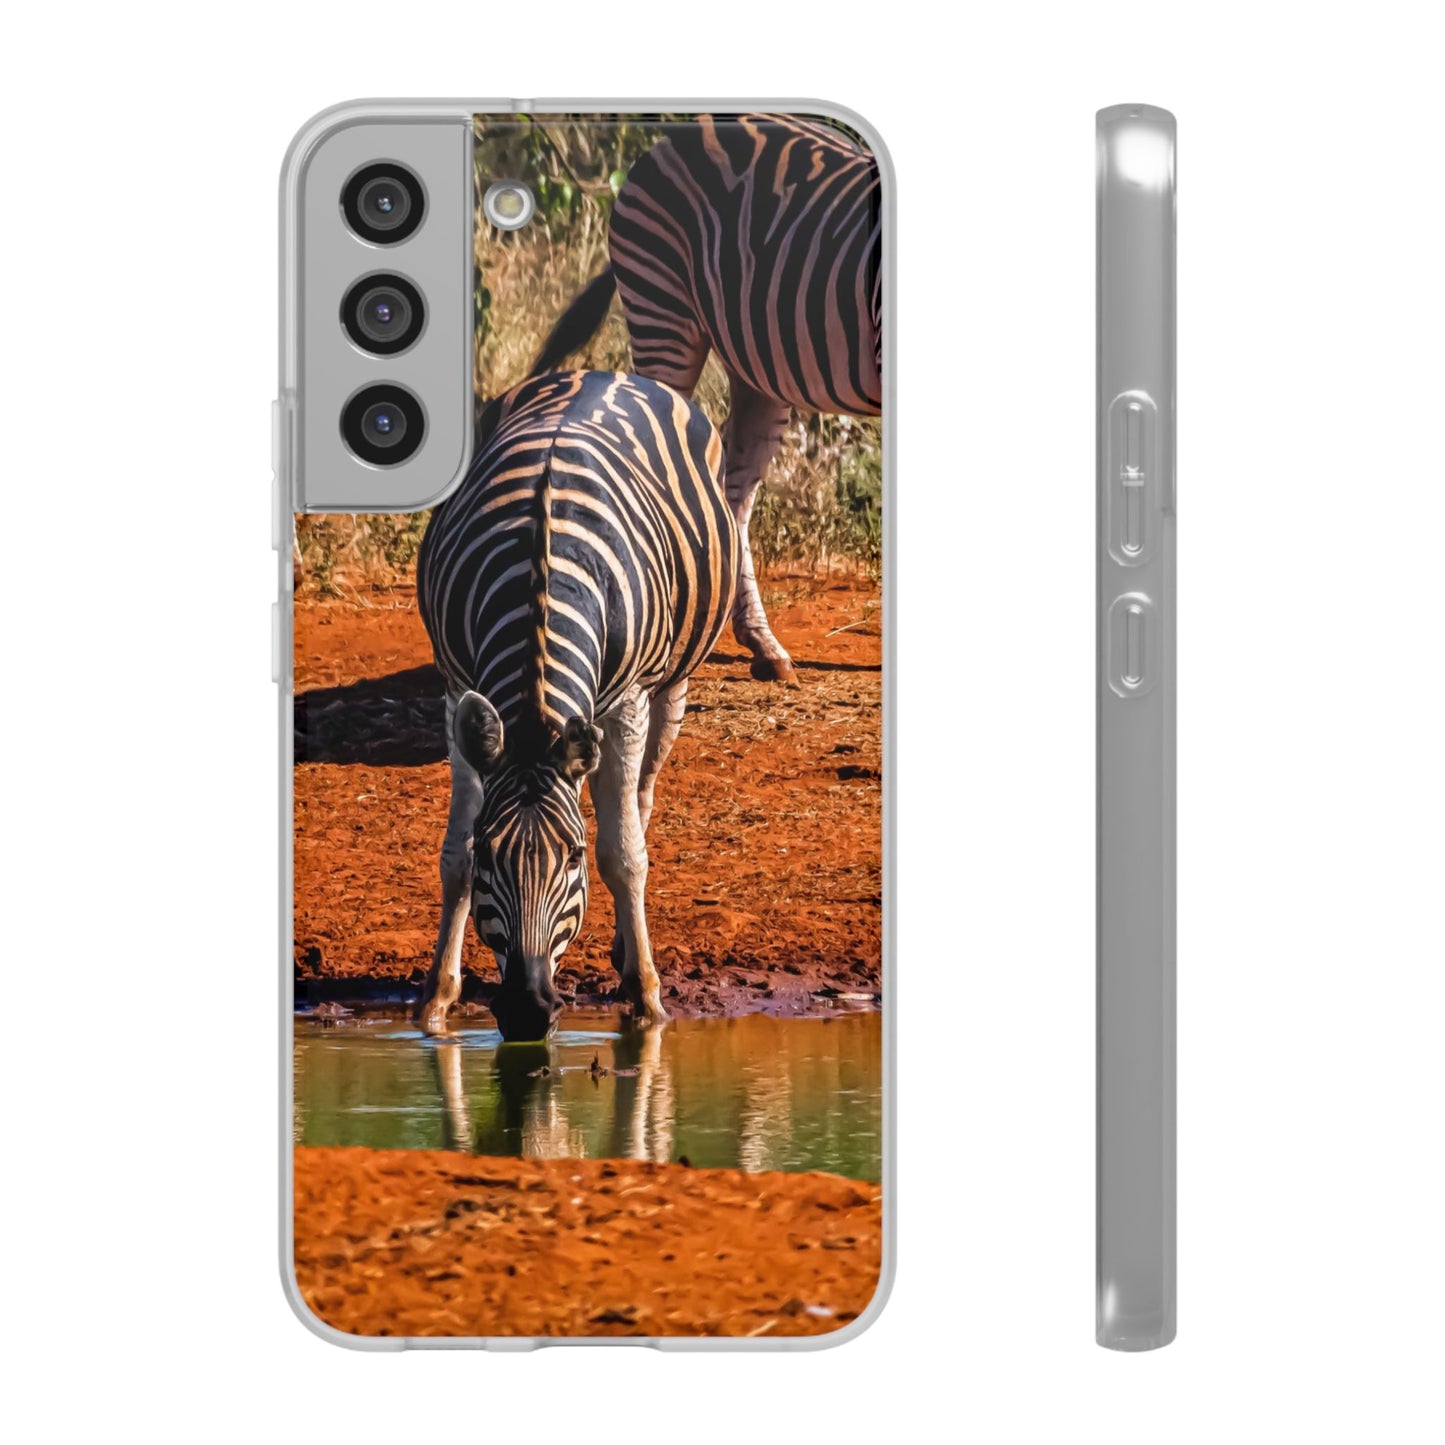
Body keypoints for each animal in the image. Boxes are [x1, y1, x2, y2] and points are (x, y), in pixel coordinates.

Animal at [416, 368, 738, 1040]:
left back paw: (626, 948)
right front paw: (436, 999)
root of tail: (602, 371)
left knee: (640, 799)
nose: (527, 1011)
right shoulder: (456, 688)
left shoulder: (628, 702)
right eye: (492, 853)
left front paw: (646, 998)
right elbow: (454, 855)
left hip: (671, 683)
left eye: (573, 857)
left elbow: (624, 855)